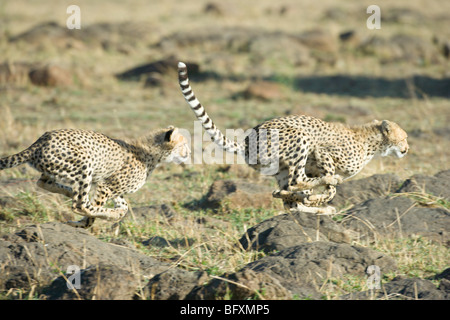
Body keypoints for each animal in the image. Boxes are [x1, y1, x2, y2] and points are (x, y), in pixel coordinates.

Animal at [0, 126, 190, 229]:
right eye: (184, 145)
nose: (189, 153)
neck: (151, 154)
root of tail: (40, 141)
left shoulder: (112, 188)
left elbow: (124, 207)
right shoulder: (107, 186)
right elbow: (95, 209)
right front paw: (103, 217)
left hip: (59, 169)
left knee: (43, 182)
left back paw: (69, 192)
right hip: (85, 163)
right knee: (80, 204)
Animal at [178, 61, 410, 214]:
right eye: (404, 138)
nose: (407, 149)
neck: (373, 142)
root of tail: (246, 141)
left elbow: (309, 193)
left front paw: (316, 201)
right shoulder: (323, 152)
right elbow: (330, 188)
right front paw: (321, 195)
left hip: (280, 168)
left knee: (287, 194)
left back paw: (314, 206)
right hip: (300, 139)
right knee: (296, 182)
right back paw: (318, 196)